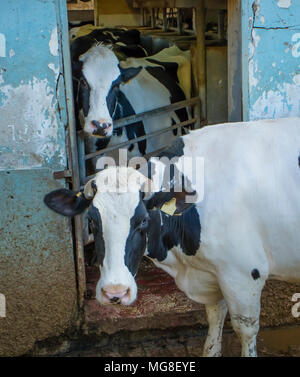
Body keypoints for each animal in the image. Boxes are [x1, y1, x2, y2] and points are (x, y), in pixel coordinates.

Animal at [44, 117, 300, 356]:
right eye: (92, 221)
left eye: (143, 220)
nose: (115, 292)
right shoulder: (213, 274)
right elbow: (215, 320)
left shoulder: (244, 274)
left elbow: (245, 329)